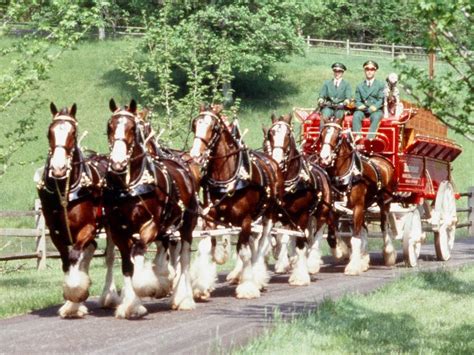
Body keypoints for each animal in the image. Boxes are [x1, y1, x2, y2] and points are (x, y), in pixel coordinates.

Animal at [37, 103, 118, 320]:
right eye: (49, 132)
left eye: (73, 132)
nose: (58, 168)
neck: (66, 189)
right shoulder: (56, 232)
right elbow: (67, 261)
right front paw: (72, 303)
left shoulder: (87, 228)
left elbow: (74, 256)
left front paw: (75, 295)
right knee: (89, 252)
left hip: (110, 225)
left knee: (108, 256)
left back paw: (109, 296)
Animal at [103, 98, 199, 318]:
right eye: (109, 127)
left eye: (132, 128)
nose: (118, 163)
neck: (130, 186)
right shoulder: (118, 231)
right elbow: (127, 265)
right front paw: (130, 305)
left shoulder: (151, 225)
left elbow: (139, 250)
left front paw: (146, 285)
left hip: (187, 226)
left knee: (185, 259)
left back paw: (184, 299)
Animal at [189, 103, 284, 300]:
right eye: (195, 124)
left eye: (213, 127)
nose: (195, 154)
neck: (228, 177)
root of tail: (271, 160)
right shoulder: (210, 219)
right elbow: (207, 248)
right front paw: (201, 286)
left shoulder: (246, 220)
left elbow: (245, 253)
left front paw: (247, 287)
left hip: (268, 215)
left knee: (261, 245)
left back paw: (257, 278)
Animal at [264, 113, 350, 284]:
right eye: (270, 135)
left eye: (287, 135)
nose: (276, 160)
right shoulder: (279, 215)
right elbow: (280, 238)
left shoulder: (303, 215)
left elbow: (301, 242)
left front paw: (300, 275)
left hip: (322, 211)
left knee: (320, 233)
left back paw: (317, 260)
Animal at [316, 115, 398, 274]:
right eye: (321, 135)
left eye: (338, 136)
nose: (324, 157)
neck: (347, 175)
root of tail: (382, 159)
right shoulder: (334, 208)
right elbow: (332, 235)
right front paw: (342, 252)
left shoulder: (357, 207)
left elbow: (355, 237)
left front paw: (353, 266)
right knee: (364, 229)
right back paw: (364, 258)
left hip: (384, 202)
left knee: (384, 226)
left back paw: (389, 253)